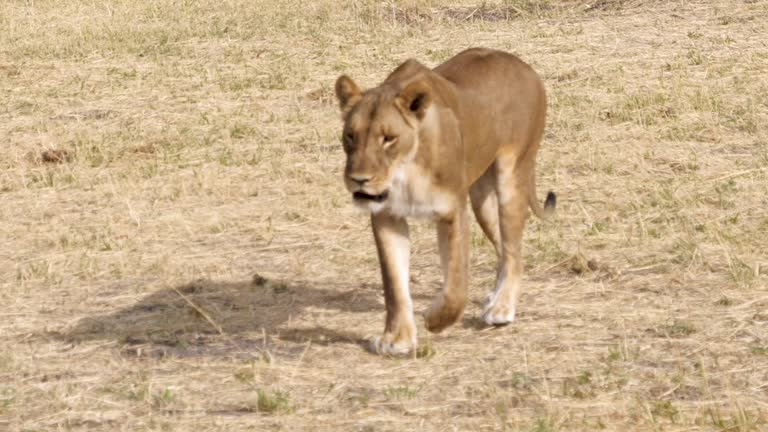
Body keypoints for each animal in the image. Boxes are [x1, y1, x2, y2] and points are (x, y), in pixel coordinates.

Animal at [332, 47, 556, 354]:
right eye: (350, 136)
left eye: (388, 138)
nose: (359, 179)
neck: (405, 173)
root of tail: (522, 65)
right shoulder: (387, 216)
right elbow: (394, 284)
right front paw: (397, 339)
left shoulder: (453, 210)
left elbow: (456, 285)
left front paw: (436, 320)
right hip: (481, 200)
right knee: (505, 249)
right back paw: (494, 298)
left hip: (511, 176)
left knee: (513, 252)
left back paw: (501, 308)